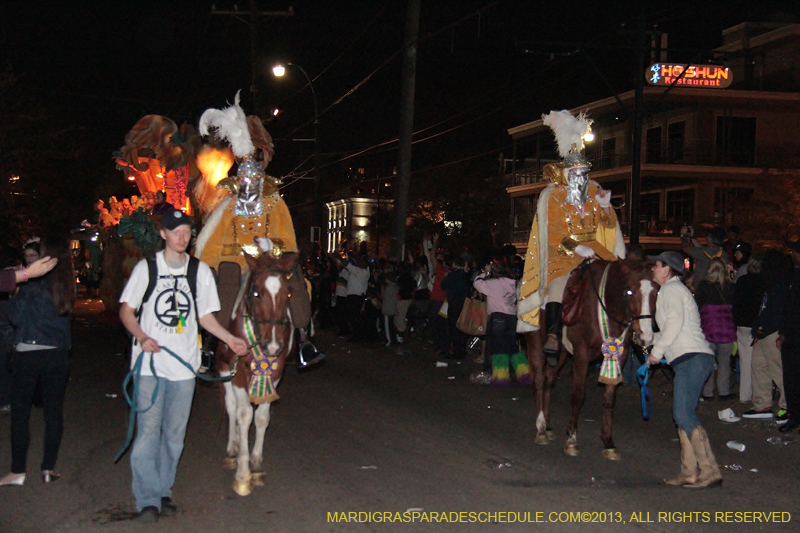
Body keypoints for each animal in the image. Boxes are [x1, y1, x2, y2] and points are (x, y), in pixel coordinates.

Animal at [214, 241, 298, 494]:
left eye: (288, 293)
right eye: (256, 292)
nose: (272, 346)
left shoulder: (276, 371)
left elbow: (261, 417)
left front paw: (257, 465)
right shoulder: (238, 370)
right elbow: (243, 414)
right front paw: (243, 474)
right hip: (224, 367)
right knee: (231, 406)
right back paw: (233, 450)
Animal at [524, 256, 656, 460]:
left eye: (656, 291)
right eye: (630, 292)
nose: (646, 337)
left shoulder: (619, 355)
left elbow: (609, 398)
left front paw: (608, 442)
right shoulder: (581, 353)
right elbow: (578, 395)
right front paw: (571, 440)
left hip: (560, 354)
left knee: (548, 380)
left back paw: (548, 425)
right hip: (536, 342)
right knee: (538, 380)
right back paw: (540, 429)